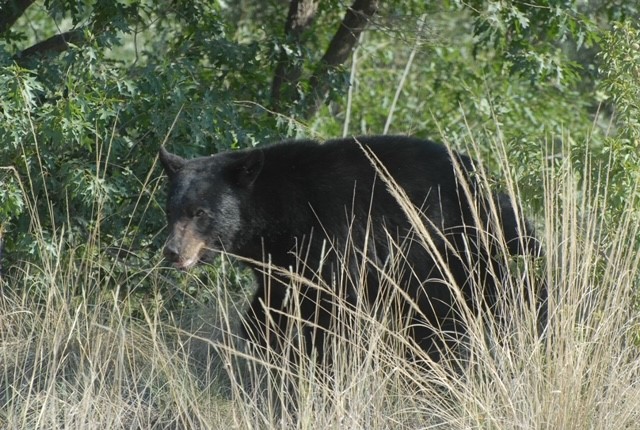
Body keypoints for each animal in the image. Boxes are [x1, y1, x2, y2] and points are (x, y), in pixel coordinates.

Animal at [159, 136, 540, 362]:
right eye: (172, 209)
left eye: (200, 213)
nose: (173, 251)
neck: (277, 213)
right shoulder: (280, 263)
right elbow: (267, 310)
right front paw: (268, 348)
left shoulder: (333, 242)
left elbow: (330, 316)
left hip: (456, 246)